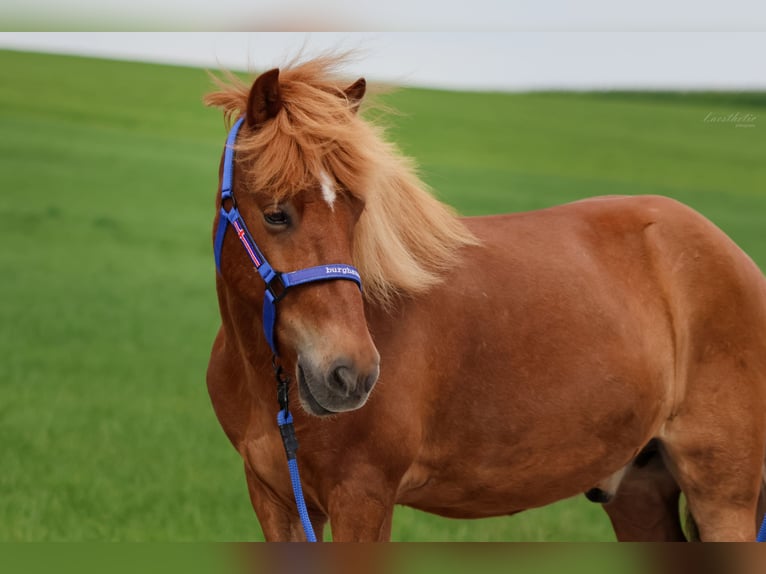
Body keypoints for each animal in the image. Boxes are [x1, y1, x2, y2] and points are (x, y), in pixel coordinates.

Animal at [204, 56, 766, 544]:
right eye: (276, 214)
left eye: (357, 210)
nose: (352, 374)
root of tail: (737, 258)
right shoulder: (276, 501)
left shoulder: (362, 499)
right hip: (639, 491)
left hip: (725, 498)